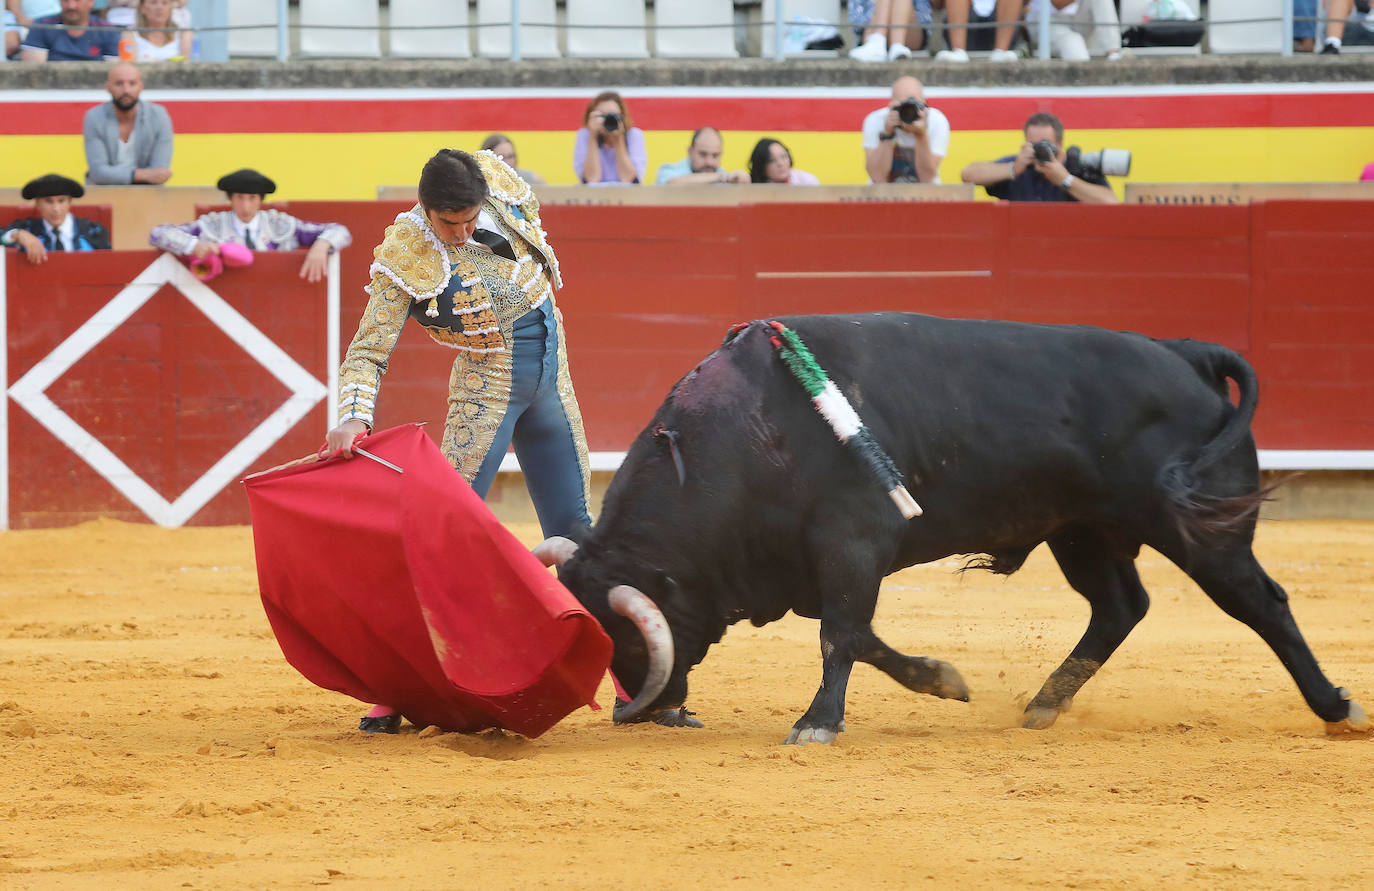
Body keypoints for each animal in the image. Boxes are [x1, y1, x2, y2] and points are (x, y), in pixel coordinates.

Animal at [546, 313, 1363, 742]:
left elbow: (842, 635)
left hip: (1200, 531)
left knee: (1261, 603)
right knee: (1120, 606)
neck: (746, 434)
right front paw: (941, 680)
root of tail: (1184, 355)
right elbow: (862, 636)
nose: (640, 711)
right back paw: (1044, 703)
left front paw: (818, 722)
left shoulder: (852, 541)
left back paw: (1337, 707)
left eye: (624, 638)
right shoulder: (821, 563)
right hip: (1081, 531)